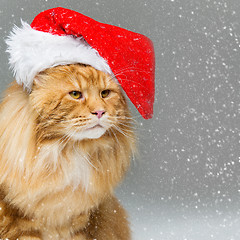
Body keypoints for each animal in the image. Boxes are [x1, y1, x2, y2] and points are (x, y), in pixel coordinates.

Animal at [0, 64, 135, 240]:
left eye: (105, 93)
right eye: (75, 94)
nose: (100, 112)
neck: (66, 153)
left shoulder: (80, 220)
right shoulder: (22, 223)